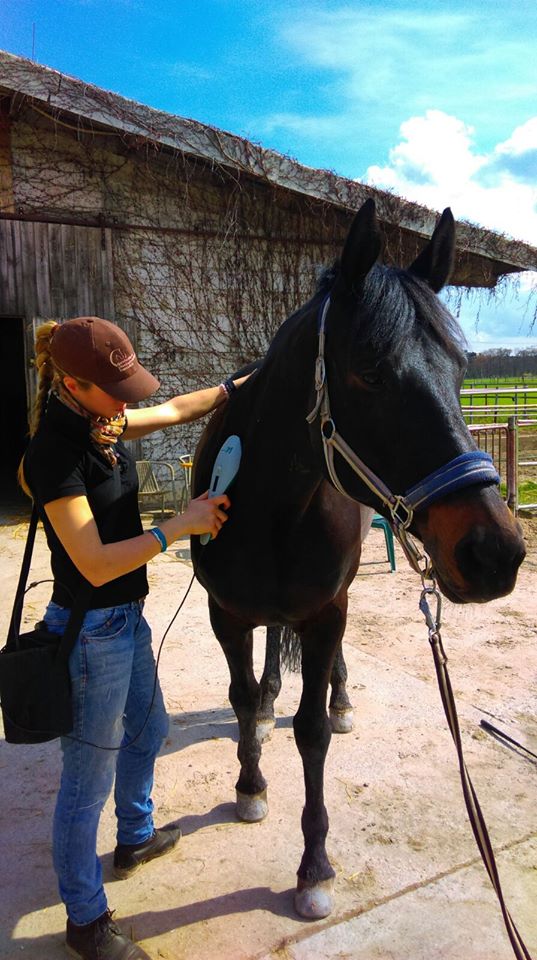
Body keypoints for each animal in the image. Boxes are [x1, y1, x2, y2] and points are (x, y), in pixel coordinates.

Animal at [189, 199, 524, 920]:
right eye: (369, 372)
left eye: (462, 370)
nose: (495, 553)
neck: (270, 501)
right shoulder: (225, 613)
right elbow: (237, 697)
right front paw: (249, 783)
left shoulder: (326, 611)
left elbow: (312, 730)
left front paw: (314, 868)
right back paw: (268, 701)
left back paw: (335, 697)